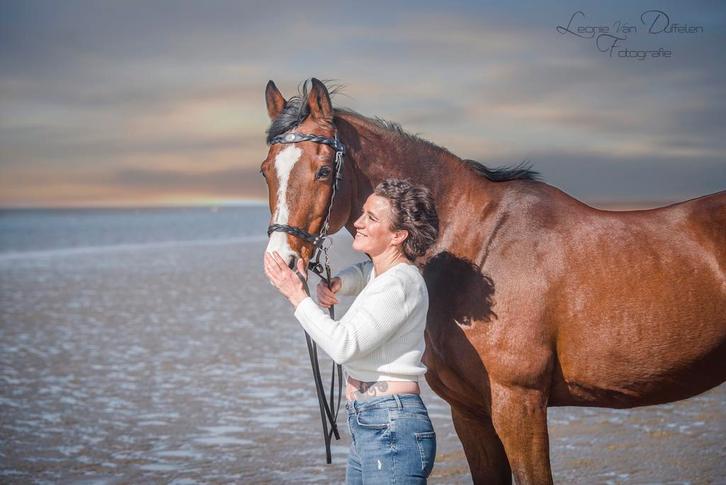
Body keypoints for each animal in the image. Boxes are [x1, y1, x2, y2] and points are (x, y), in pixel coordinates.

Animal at [260, 78, 726, 484]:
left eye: (323, 171)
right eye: (266, 170)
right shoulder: (470, 411)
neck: (478, 244)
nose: (280, 261)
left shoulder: (518, 402)